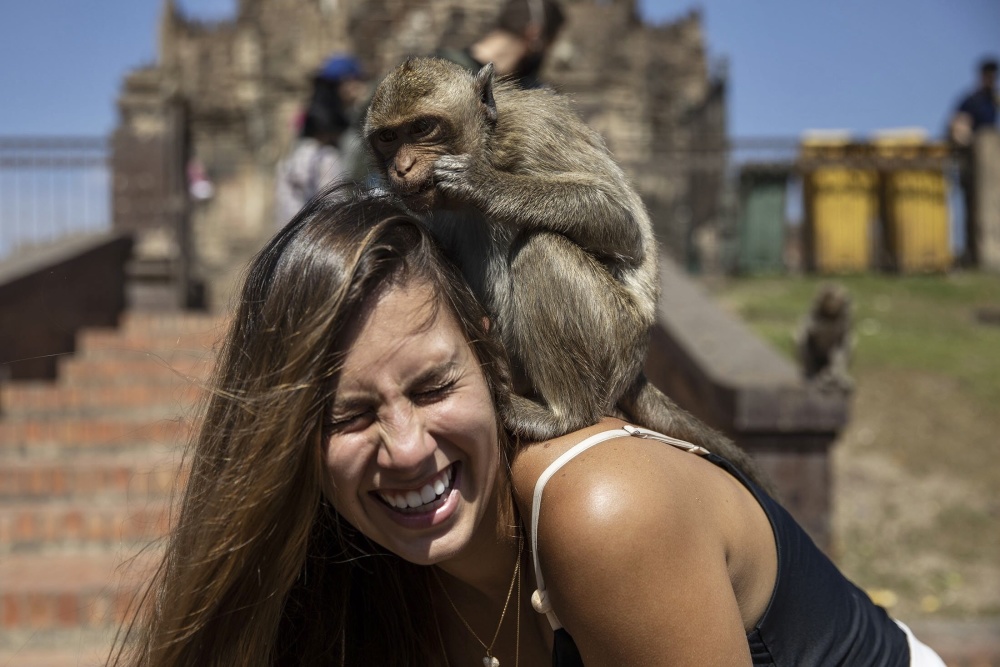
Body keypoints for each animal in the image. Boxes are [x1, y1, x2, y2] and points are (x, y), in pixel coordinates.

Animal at [364, 57, 760, 482]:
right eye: (388, 137)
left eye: (422, 127)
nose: (402, 167)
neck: (488, 142)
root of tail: (635, 368)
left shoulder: (536, 130)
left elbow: (621, 222)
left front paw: (485, 184)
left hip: (613, 337)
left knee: (543, 246)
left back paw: (565, 414)